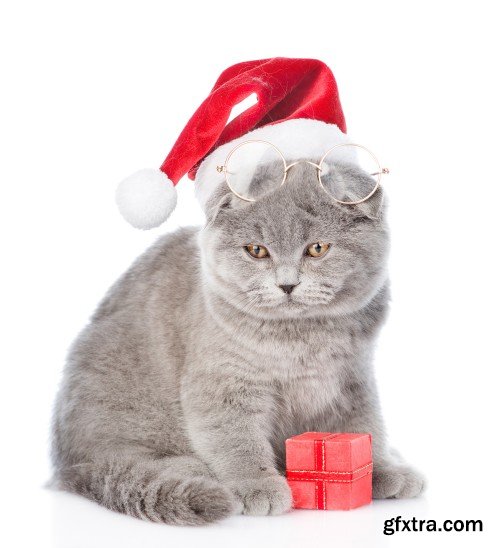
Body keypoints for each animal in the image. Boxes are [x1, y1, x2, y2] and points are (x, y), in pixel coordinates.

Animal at [51, 159, 426, 528]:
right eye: (256, 251)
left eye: (317, 248)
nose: (287, 284)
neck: (302, 338)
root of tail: (70, 466)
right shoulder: (225, 382)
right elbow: (236, 439)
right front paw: (257, 486)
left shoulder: (352, 378)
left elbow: (365, 425)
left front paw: (384, 470)